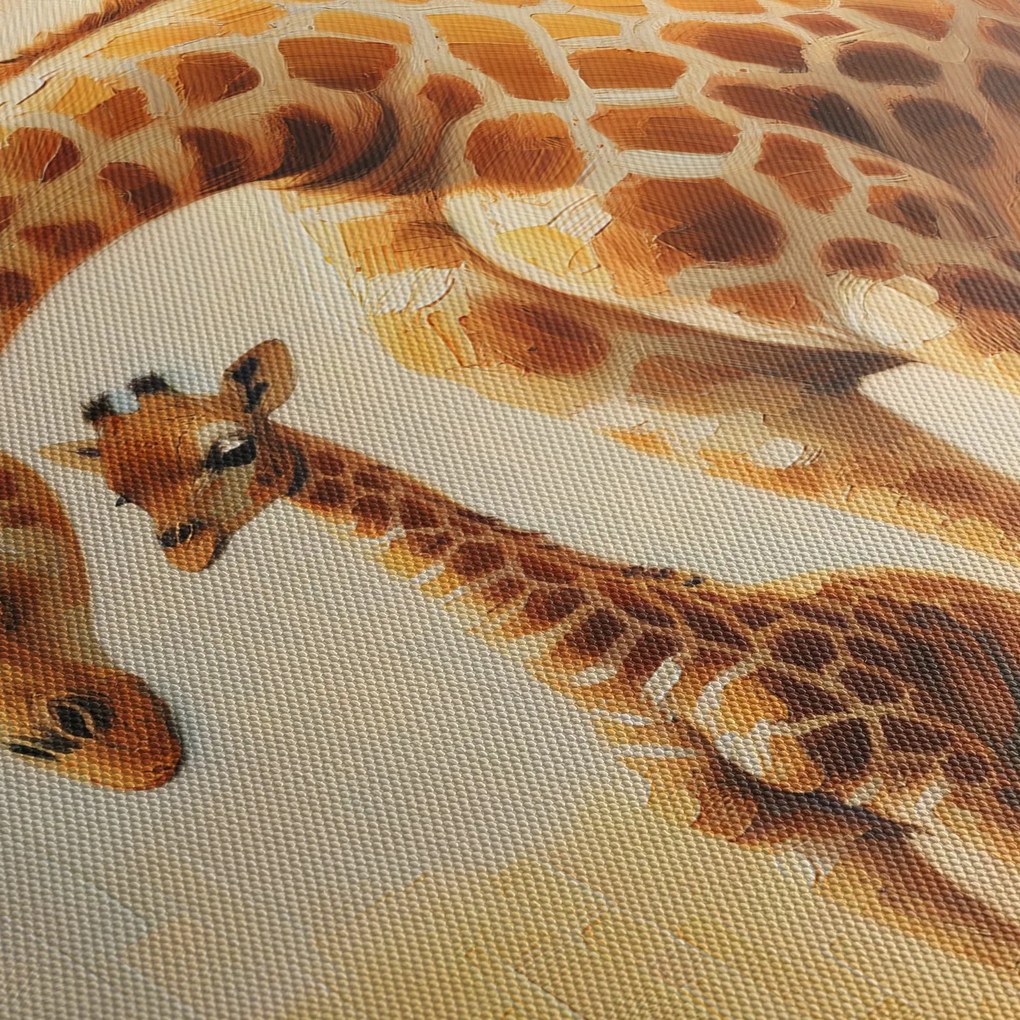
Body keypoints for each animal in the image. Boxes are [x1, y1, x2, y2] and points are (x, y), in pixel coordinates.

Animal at [4, 0, 1020, 567]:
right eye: (118, 494)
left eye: (230, 449)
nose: (185, 555)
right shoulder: (728, 406)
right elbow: (973, 515)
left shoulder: (914, 238)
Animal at [46, 338, 1020, 965]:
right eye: (122, 495)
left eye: (232, 445)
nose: (183, 550)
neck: (652, 675)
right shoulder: (817, 843)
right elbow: (987, 956)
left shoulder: (951, 774)